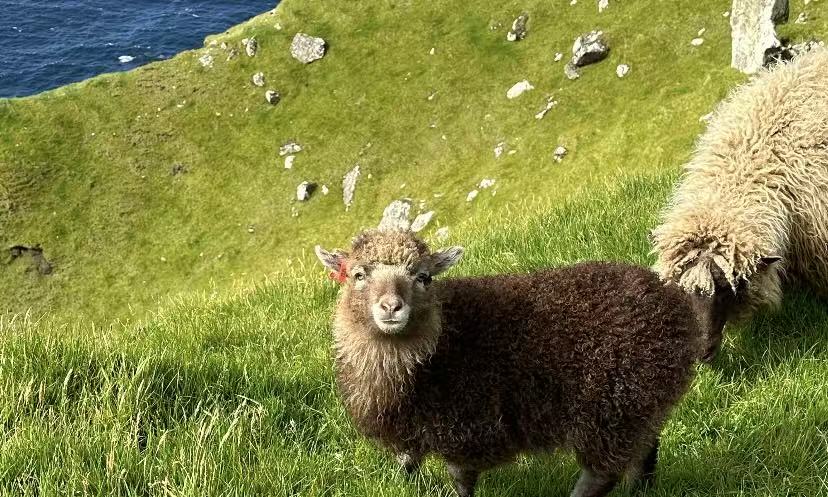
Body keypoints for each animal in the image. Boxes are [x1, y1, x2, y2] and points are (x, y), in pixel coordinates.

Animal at [315, 229, 701, 497]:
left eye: (423, 277)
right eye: (358, 275)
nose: (391, 307)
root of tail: (674, 303)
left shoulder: (465, 426)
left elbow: (461, 482)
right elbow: (407, 464)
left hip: (611, 406)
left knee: (601, 474)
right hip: (642, 404)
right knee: (645, 452)